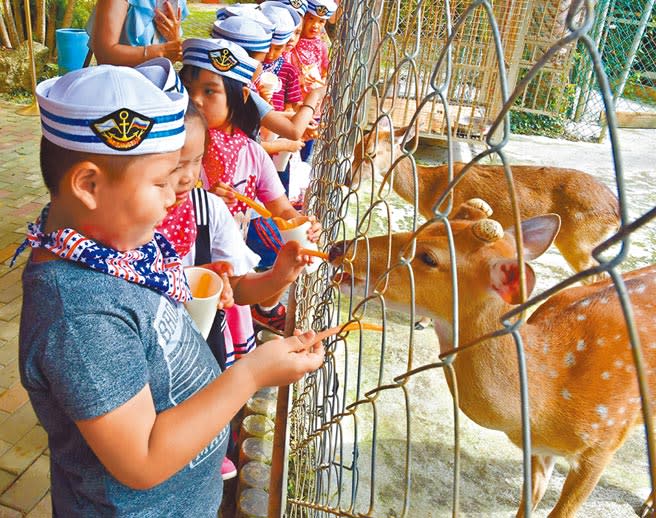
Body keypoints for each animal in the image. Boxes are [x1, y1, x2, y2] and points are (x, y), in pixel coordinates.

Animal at [330, 201, 652, 516]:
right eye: (428, 225)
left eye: (429, 258)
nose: (339, 248)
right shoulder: (539, 449)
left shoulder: (603, 443)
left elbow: (564, 511)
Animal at [352, 123, 616, 280]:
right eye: (355, 149)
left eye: (371, 153)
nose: (348, 180)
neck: (431, 190)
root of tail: (615, 209)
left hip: (579, 242)